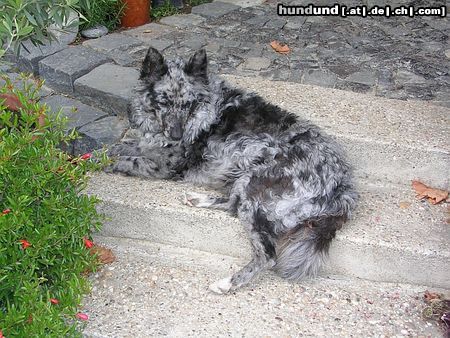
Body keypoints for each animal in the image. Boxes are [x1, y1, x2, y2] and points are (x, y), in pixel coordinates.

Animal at [109, 46, 358, 294]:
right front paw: (103, 152)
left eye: (189, 104)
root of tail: (343, 189)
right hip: (245, 182)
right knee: (231, 204)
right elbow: (120, 147)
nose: (178, 136)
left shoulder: (165, 166)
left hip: (254, 185)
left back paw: (227, 283)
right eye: (163, 102)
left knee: (266, 255)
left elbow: (130, 161)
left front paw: (106, 166)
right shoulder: (148, 144)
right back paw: (196, 199)